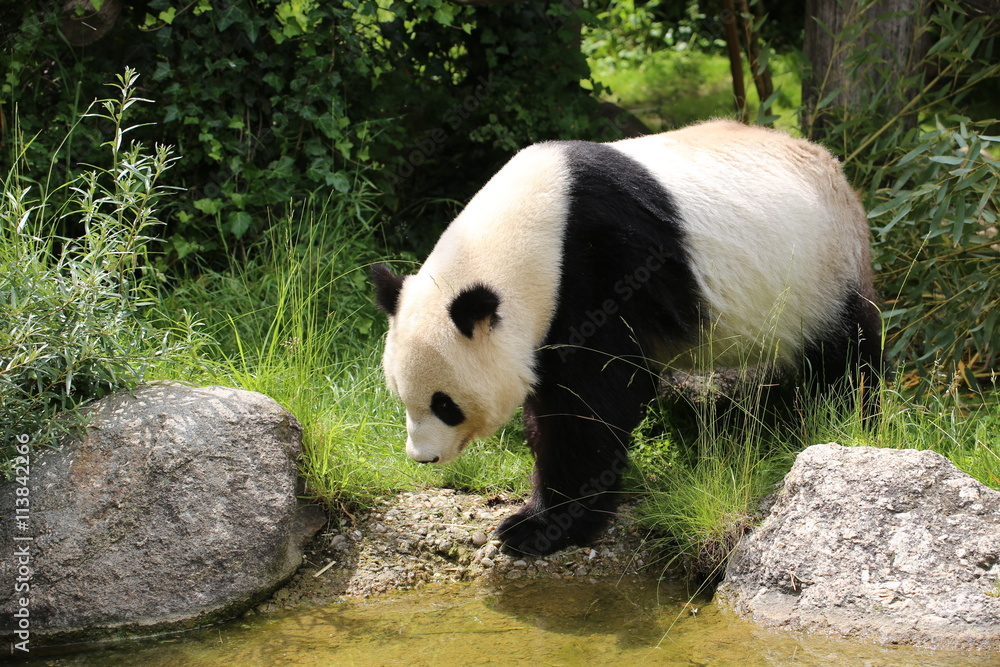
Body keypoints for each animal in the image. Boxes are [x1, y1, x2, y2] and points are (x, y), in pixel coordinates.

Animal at [372, 119, 883, 556]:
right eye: (401, 397)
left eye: (445, 404)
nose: (422, 457)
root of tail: (834, 168)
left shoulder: (604, 268)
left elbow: (591, 402)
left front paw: (538, 527)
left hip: (819, 273)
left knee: (844, 354)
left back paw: (845, 418)